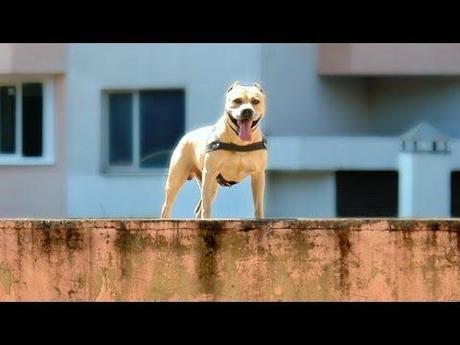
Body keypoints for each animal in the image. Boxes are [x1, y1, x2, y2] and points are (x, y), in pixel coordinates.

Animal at [162, 80, 268, 218]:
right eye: (237, 100)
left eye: (255, 101)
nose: (247, 111)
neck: (239, 142)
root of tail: (186, 136)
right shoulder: (210, 172)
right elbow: (206, 206)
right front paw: (207, 220)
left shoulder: (258, 175)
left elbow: (258, 205)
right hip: (177, 179)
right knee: (168, 206)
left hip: (212, 185)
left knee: (199, 208)